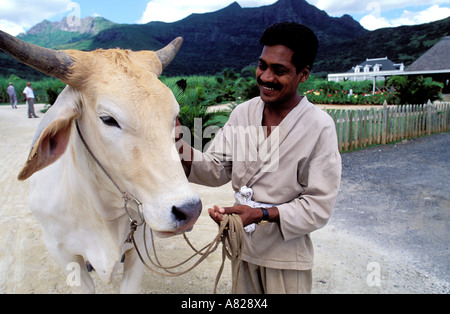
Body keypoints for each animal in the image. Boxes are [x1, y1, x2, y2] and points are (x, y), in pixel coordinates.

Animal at [0, 30, 200, 294]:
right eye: (108, 119)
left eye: (174, 115)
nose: (189, 210)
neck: (101, 212)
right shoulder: (63, 254)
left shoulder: (139, 249)